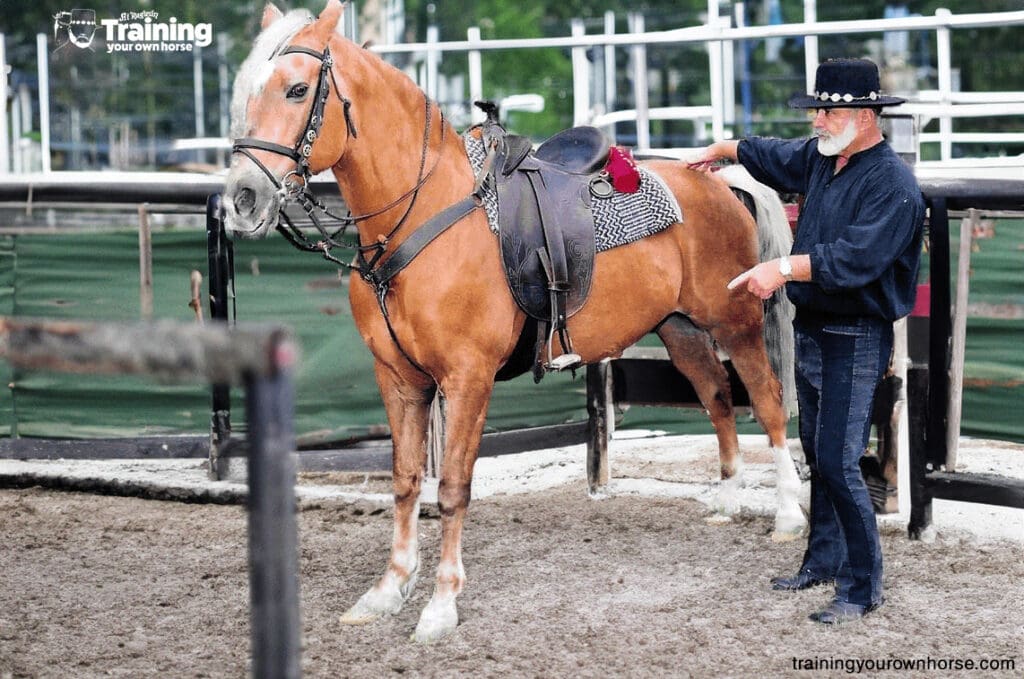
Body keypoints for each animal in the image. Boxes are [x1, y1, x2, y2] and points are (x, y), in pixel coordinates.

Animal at [224, 1, 806, 643]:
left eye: (297, 89)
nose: (242, 199)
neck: (422, 215)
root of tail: (715, 178)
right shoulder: (398, 379)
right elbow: (405, 480)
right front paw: (388, 589)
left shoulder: (466, 379)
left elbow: (453, 486)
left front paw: (440, 605)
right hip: (680, 329)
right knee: (718, 398)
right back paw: (727, 500)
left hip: (735, 324)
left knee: (767, 403)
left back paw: (787, 514)